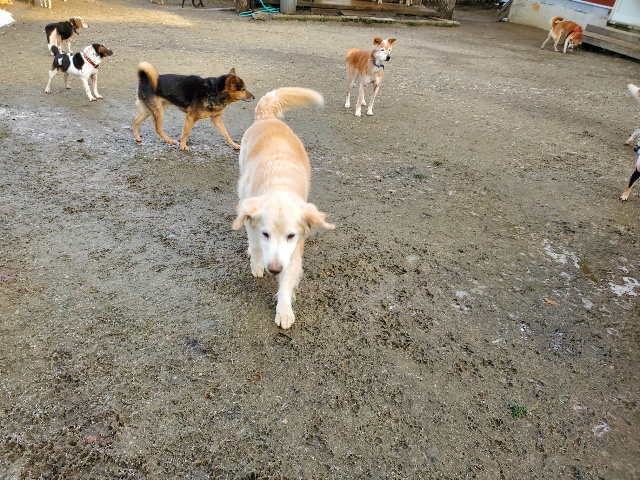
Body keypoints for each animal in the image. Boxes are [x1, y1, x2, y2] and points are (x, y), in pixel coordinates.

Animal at [232, 88, 334, 329]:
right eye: (266, 234)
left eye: (290, 236)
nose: (274, 269)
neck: (279, 186)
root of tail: (267, 117)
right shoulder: (252, 219)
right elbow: (256, 246)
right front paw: (257, 264)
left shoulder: (295, 248)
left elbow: (288, 280)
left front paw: (284, 309)